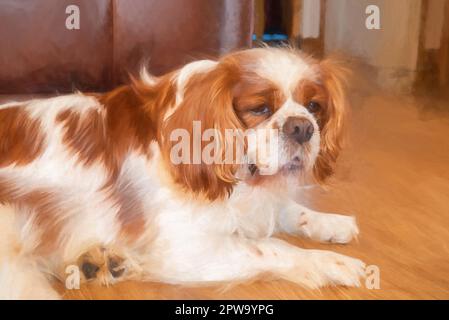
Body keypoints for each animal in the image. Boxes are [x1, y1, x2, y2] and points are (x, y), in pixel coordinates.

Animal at [0, 46, 364, 298]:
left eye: (314, 107)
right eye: (260, 108)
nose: (302, 127)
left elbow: (288, 210)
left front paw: (330, 223)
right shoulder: (188, 249)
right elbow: (273, 246)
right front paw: (332, 263)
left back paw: (101, 263)